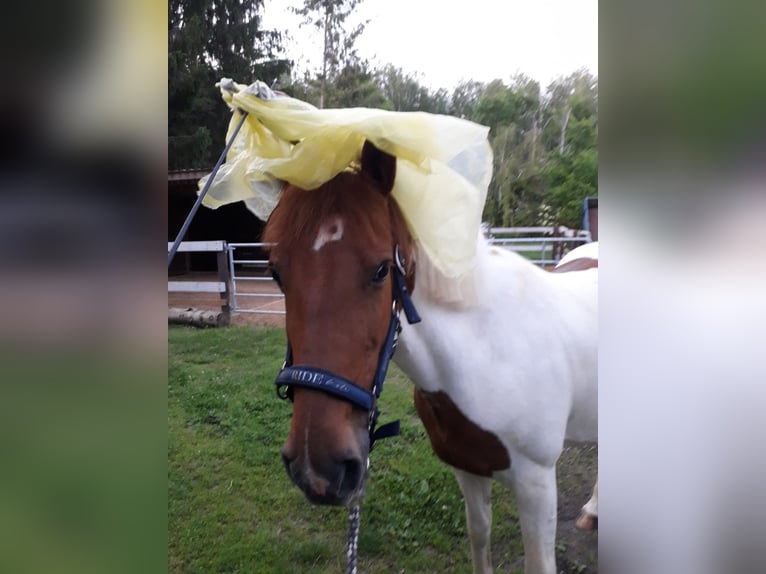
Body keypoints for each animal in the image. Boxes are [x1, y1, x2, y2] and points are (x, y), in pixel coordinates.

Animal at [264, 142, 600, 574]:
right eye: (276, 273)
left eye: (381, 270)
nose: (316, 467)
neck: (485, 350)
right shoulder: (468, 469)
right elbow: (479, 536)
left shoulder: (537, 484)